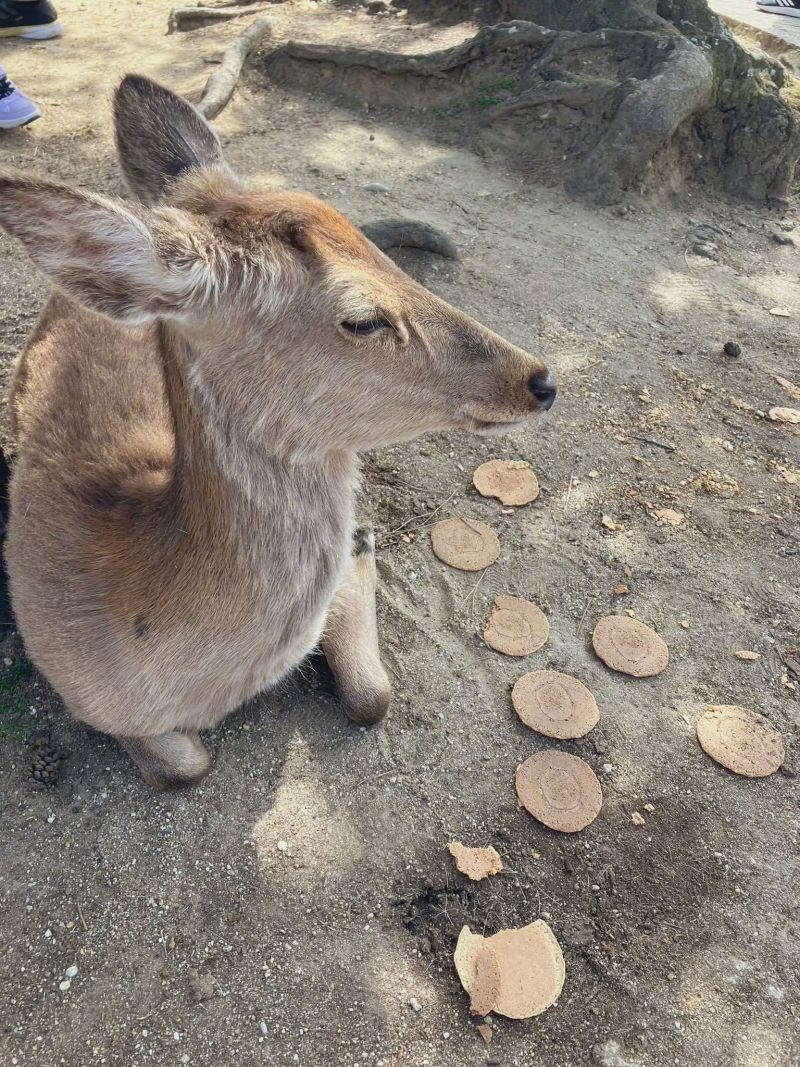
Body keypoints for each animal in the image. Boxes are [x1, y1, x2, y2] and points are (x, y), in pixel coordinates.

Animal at [0, 75, 558, 789]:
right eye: (362, 320)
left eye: (382, 256)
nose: (540, 380)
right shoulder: (74, 683)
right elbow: (185, 765)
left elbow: (372, 696)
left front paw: (364, 544)